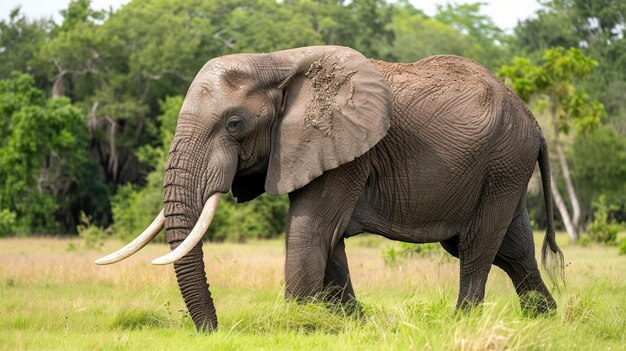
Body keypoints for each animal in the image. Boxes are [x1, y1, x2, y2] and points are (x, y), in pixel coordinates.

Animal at [95, 46, 564, 332]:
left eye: (234, 124)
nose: (213, 330)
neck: (277, 62)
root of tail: (533, 119)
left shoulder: (345, 149)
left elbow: (309, 230)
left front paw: (296, 326)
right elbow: (328, 239)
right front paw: (351, 324)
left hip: (504, 160)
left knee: (477, 246)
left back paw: (463, 322)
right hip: (505, 168)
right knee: (513, 250)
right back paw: (548, 320)